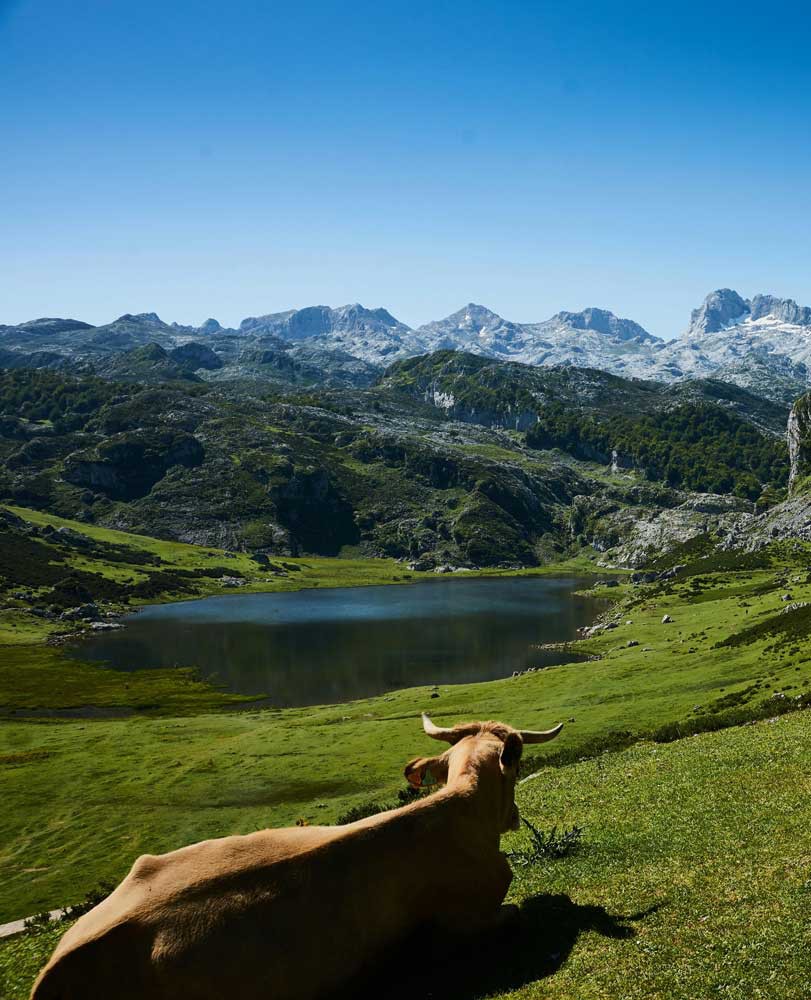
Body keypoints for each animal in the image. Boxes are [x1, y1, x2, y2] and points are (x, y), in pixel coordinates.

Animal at [33, 712, 564, 1000]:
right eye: (517, 767)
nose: (515, 817)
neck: (460, 810)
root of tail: (53, 970)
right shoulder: (467, 918)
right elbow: (515, 912)